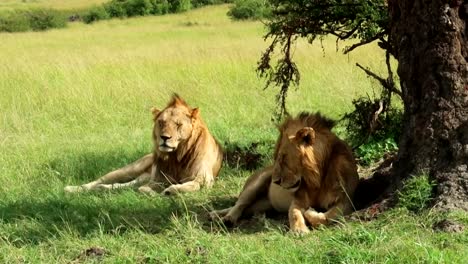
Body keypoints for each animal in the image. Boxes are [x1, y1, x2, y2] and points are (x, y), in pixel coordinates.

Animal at [63, 94, 223, 195]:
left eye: (178, 124)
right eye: (161, 122)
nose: (164, 137)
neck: (176, 155)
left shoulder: (205, 177)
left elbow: (194, 184)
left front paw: (171, 190)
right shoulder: (157, 179)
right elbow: (146, 189)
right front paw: (155, 192)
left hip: (140, 177)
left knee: (123, 185)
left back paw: (104, 189)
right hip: (130, 169)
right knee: (98, 181)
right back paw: (72, 189)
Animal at [210, 111, 360, 233]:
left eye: (283, 158)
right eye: (276, 157)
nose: (275, 181)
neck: (316, 179)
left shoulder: (345, 201)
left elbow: (329, 217)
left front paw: (311, 213)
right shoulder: (298, 199)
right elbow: (293, 212)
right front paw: (299, 229)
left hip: (264, 205)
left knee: (246, 208)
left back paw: (217, 215)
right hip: (255, 184)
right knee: (239, 204)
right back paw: (224, 217)